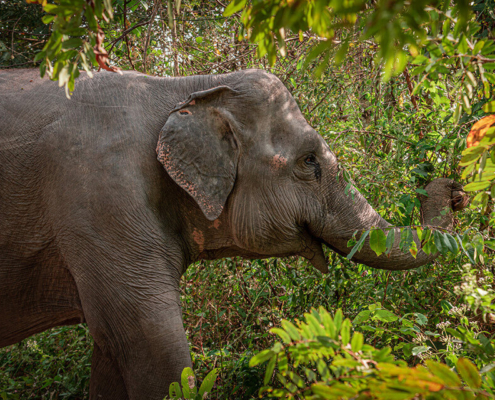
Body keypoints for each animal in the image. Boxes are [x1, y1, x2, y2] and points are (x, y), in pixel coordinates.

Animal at [0, 67, 468, 398]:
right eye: (310, 161)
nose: (453, 188)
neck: (185, 88)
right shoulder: (102, 201)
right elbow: (154, 348)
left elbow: (113, 354)